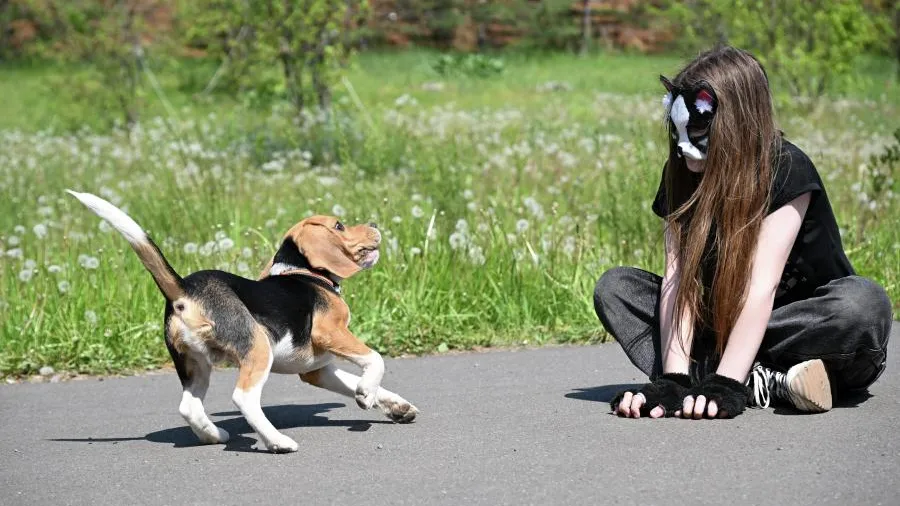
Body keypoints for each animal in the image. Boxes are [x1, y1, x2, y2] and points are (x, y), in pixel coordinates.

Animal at [67, 192, 418, 452]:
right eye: (340, 225)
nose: (374, 223)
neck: (304, 272)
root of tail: (184, 289)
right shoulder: (331, 332)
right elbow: (375, 360)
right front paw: (366, 394)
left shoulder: (316, 370)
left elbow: (356, 381)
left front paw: (394, 405)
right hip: (258, 347)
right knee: (244, 398)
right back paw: (277, 441)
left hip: (194, 364)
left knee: (189, 407)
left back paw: (213, 435)